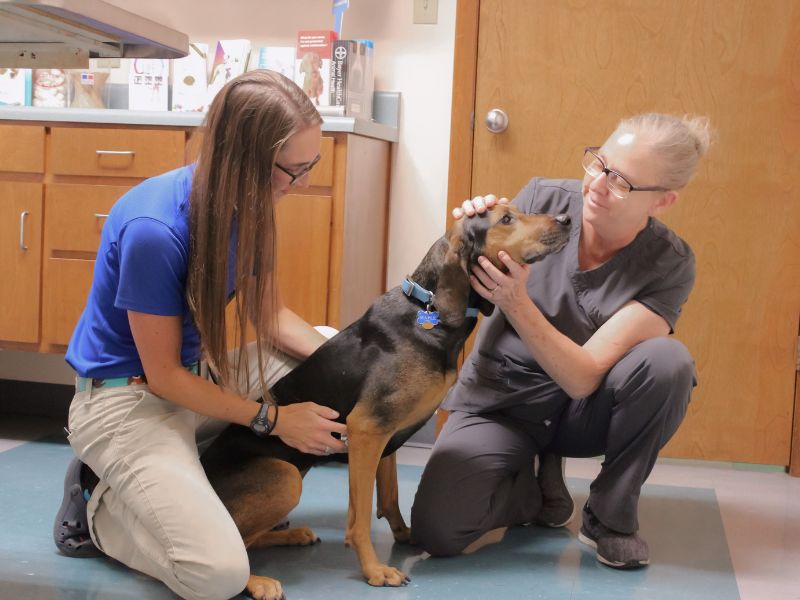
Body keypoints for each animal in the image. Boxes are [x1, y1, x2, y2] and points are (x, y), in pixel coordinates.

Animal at [203, 204, 572, 596]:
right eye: (506, 219)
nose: (567, 220)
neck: (428, 311)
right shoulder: (366, 430)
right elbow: (360, 517)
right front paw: (374, 570)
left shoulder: (387, 438)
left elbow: (390, 496)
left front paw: (404, 535)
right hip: (286, 475)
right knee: (235, 545)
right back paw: (256, 580)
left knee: (252, 539)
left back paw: (292, 536)